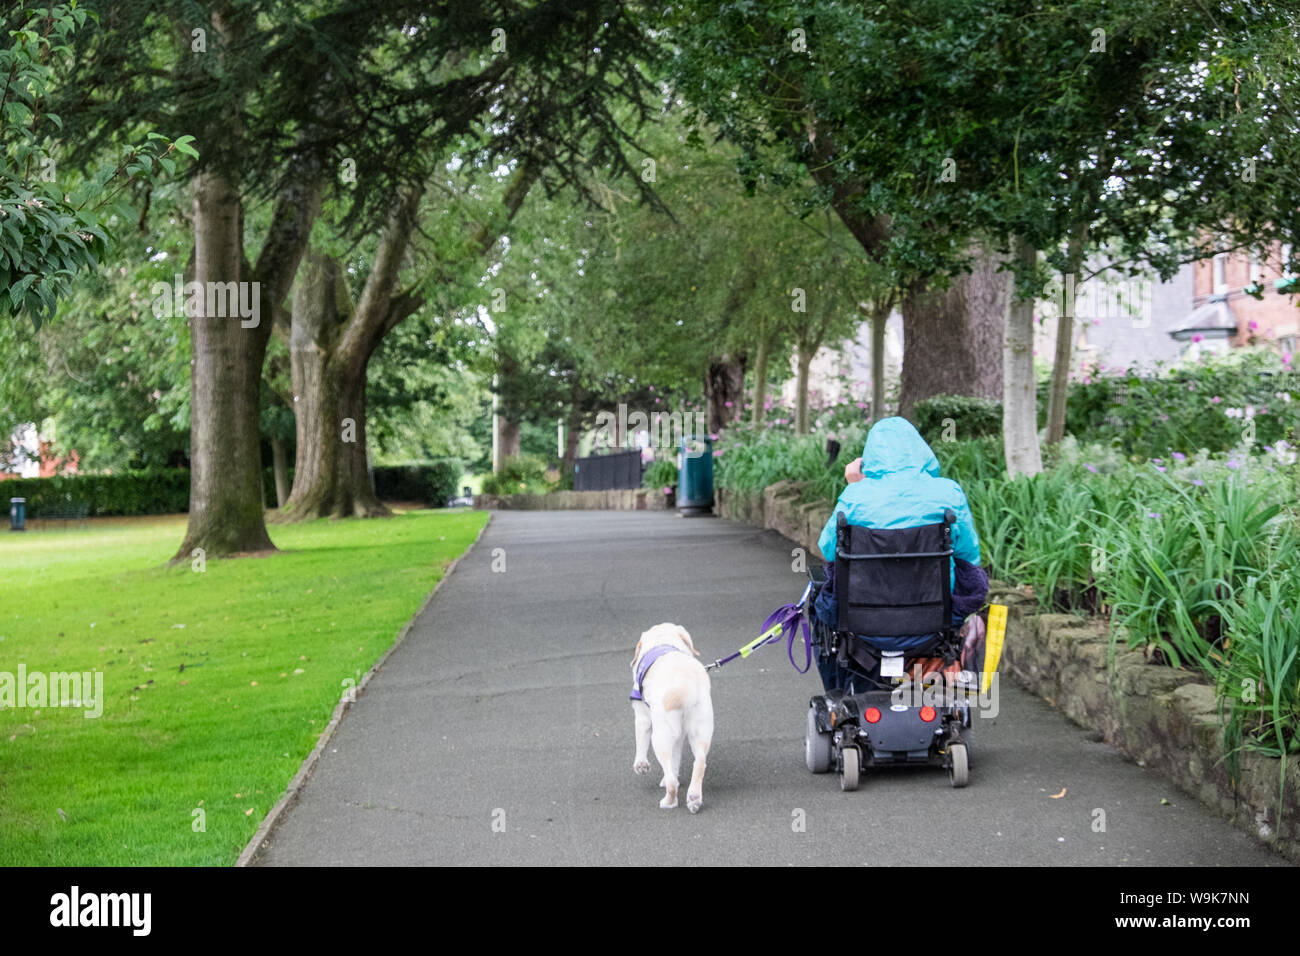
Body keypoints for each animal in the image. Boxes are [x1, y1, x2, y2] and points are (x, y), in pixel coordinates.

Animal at [626, 624, 712, 811]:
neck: (662, 641)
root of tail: (684, 686)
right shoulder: (679, 737)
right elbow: (675, 760)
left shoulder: (642, 718)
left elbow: (641, 743)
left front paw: (641, 765)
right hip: (701, 731)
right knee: (700, 763)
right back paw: (694, 799)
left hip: (660, 737)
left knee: (672, 782)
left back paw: (668, 802)